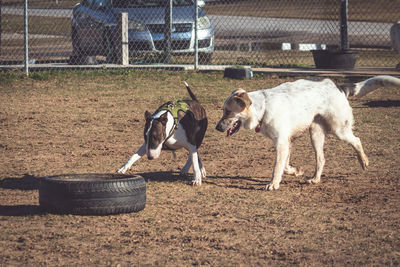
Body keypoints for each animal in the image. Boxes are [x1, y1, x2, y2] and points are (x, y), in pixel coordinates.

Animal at [217, 75, 400, 191]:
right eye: (223, 110)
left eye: (228, 112)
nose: (217, 128)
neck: (263, 109)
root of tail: (338, 86)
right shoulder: (287, 142)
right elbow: (285, 166)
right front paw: (295, 171)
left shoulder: (282, 143)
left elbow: (277, 167)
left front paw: (273, 184)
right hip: (315, 135)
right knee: (321, 159)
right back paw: (316, 179)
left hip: (339, 130)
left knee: (357, 140)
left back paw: (363, 161)